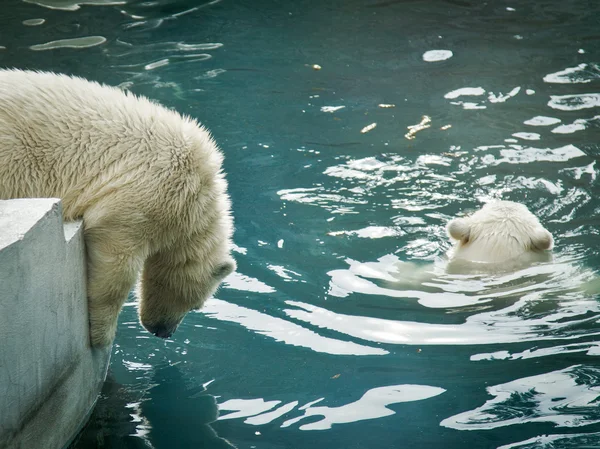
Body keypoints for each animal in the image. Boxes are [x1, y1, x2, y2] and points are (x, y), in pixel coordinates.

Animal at [0, 69, 237, 346]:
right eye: (195, 305)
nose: (164, 332)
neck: (196, 199)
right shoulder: (151, 192)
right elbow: (118, 260)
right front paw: (101, 335)